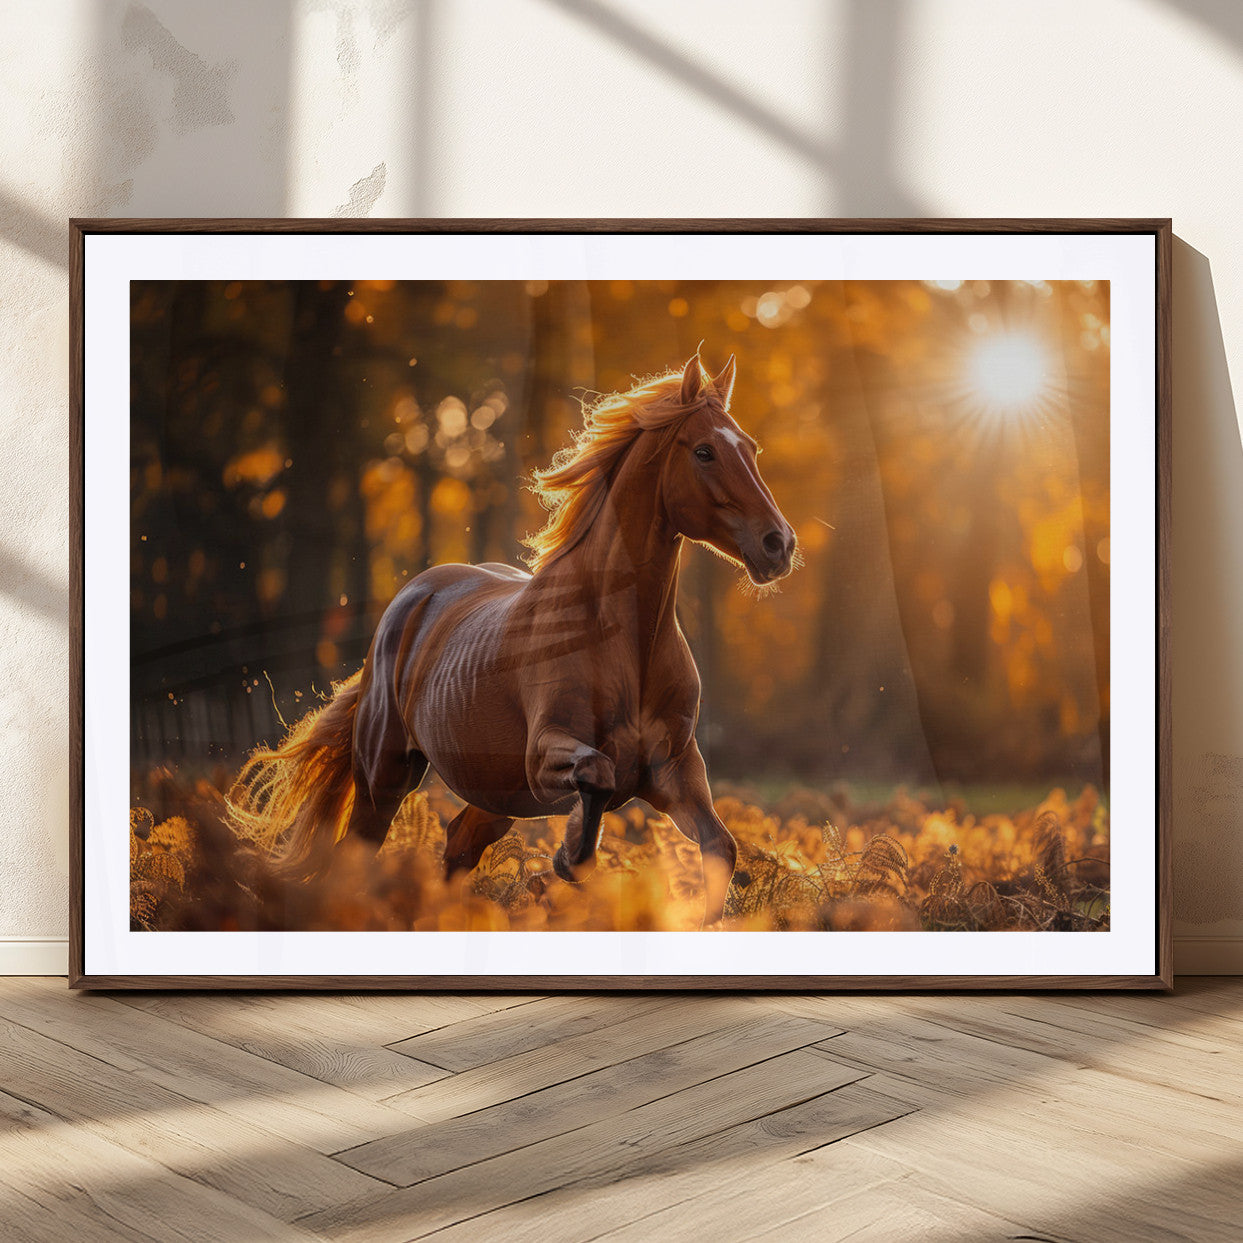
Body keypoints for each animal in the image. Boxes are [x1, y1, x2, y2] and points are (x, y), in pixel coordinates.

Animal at [227, 352, 797, 924]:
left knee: (459, 844)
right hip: (385, 777)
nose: (779, 544)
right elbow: (596, 778)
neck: (625, 644)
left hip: (492, 794)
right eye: (704, 451)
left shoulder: (675, 770)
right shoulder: (545, 759)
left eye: (750, 448)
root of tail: (408, 601)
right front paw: (566, 858)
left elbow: (721, 848)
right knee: (361, 854)